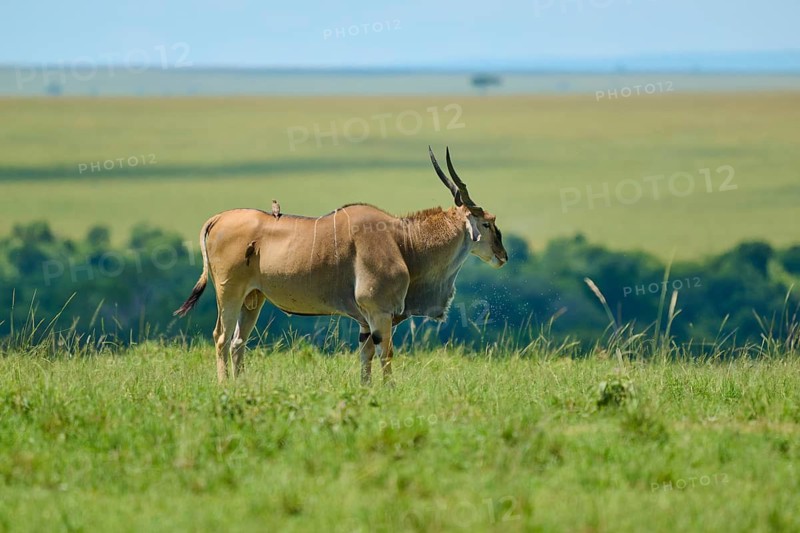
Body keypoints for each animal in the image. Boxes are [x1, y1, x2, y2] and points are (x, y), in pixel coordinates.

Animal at [174, 147, 508, 383]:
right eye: (488, 223)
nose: (503, 255)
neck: (404, 242)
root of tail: (217, 218)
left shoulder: (365, 321)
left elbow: (366, 357)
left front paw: (366, 391)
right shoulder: (380, 313)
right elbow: (386, 354)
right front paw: (389, 390)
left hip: (252, 300)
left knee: (238, 342)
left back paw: (242, 386)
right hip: (229, 294)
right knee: (221, 338)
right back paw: (224, 387)